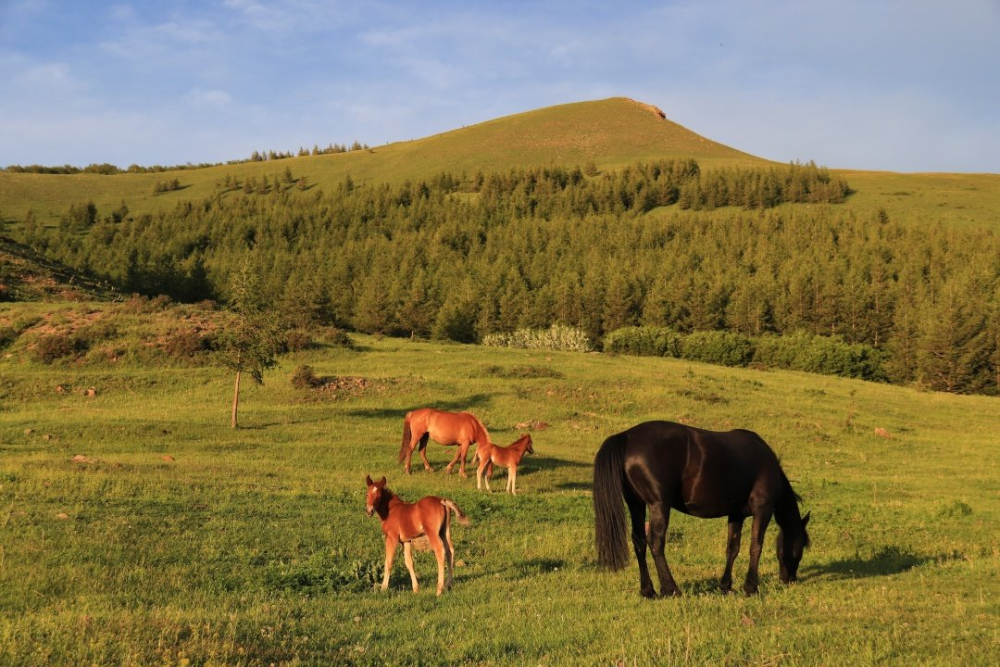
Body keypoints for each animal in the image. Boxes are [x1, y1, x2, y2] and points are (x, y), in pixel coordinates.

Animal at [592, 420, 812, 596]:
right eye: (801, 545)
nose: (789, 579)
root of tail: (627, 436)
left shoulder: (736, 514)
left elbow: (732, 548)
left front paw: (725, 586)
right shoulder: (762, 509)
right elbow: (755, 546)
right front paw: (750, 587)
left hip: (636, 504)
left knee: (639, 542)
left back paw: (648, 590)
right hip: (658, 505)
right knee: (656, 543)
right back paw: (671, 589)